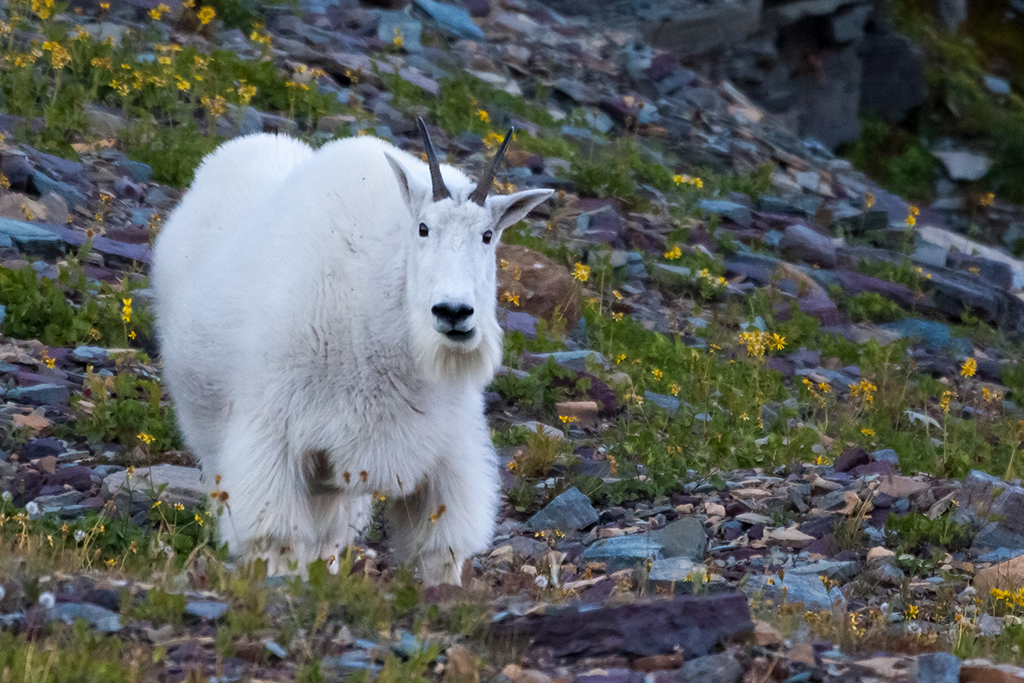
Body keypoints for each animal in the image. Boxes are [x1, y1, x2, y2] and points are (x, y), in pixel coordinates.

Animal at [150, 120, 552, 585]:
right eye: (422, 228)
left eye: (487, 236)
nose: (453, 312)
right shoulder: (274, 432)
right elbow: (276, 538)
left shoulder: (444, 447)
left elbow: (440, 549)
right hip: (211, 428)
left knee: (331, 531)